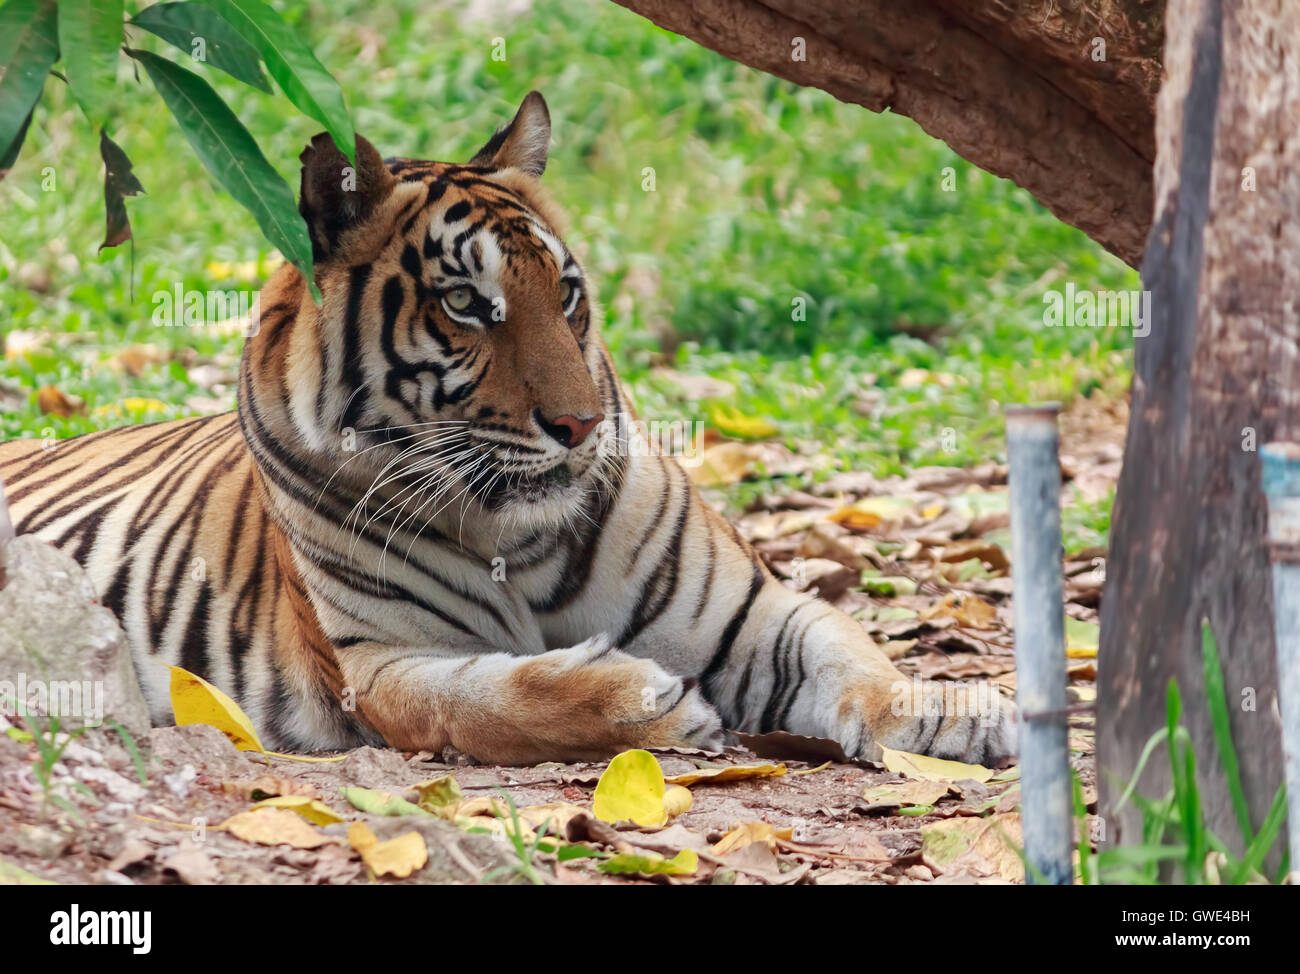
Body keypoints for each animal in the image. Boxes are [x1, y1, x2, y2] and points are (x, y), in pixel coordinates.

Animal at [0, 91, 1013, 764]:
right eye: (464, 303)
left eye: (564, 293)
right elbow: (489, 701)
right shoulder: (380, 661)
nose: (579, 423)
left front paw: (964, 708)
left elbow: (853, 653)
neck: (519, 541)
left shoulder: (751, 612)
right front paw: (646, 701)